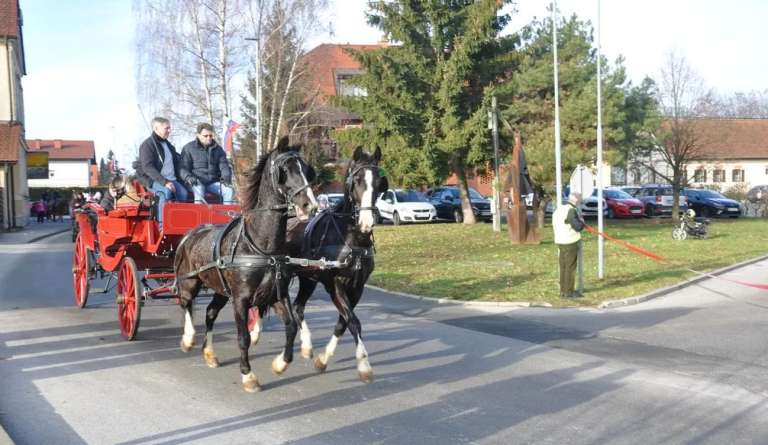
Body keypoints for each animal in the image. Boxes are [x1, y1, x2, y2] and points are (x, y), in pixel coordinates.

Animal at [172, 136, 316, 392]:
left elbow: (290, 327)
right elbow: (243, 338)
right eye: (285, 169)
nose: (310, 204)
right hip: (190, 282)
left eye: (307, 169)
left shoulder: (276, 294)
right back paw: (188, 339)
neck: (260, 246)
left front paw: (280, 363)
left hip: (221, 289)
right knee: (186, 304)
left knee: (210, 313)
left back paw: (209, 353)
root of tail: (190, 234)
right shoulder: (241, 299)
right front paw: (248, 375)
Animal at [284, 146, 388, 382]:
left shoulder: (357, 287)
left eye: (379, 182)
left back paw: (306, 346)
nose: (367, 222)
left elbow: (343, 322)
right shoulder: (335, 285)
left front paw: (323, 359)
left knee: (298, 307)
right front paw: (364, 364)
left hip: (308, 279)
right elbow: (353, 321)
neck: (350, 238)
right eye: (357, 180)